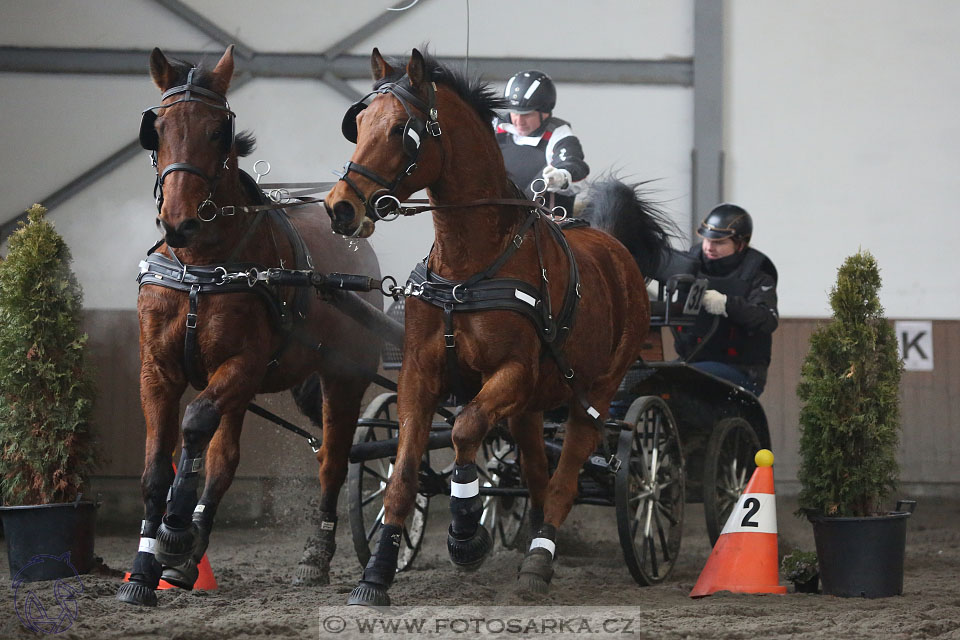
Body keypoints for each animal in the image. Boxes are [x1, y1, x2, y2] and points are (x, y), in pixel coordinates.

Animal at [114, 45, 380, 604]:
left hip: (343, 376)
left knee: (334, 458)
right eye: (157, 128)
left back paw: (315, 554)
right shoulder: (158, 370)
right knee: (225, 459)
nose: (179, 221)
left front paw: (173, 530)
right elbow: (156, 468)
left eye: (219, 129)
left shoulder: (242, 363)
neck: (200, 269)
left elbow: (194, 425)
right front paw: (146, 569)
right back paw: (190, 552)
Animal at [326, 50, 672, 604]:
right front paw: (376, 573)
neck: (469, 266)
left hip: (595, 395)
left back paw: (539, 561)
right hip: (533, 407)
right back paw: (535, 545)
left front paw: (467, 534)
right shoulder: (419, 376)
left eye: (403, 129)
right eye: (357, 124)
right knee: (537, 473)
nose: (340, 207)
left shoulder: (511, 373)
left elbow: (466, 427)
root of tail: (615, 249)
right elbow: (404, 473)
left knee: (566, 477)